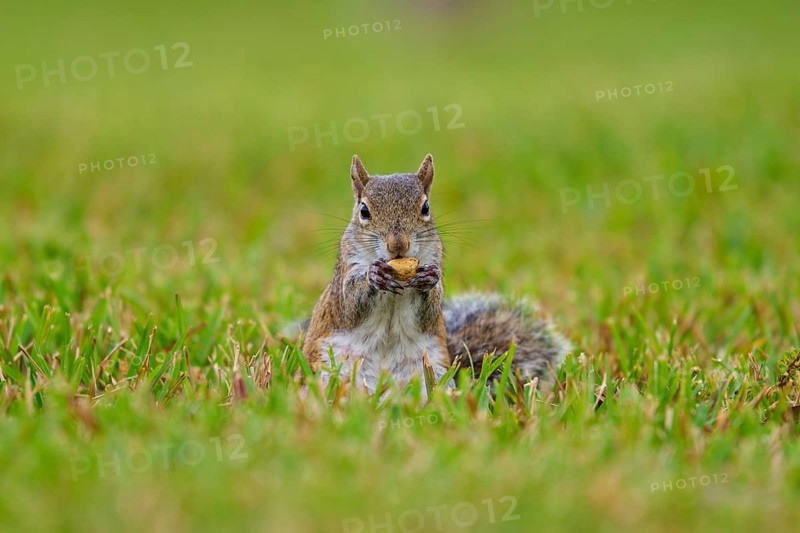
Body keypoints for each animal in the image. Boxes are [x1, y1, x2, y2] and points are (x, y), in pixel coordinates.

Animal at [302, 154, 571, 394]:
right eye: (364, 211)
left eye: (425, 207)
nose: (398, 245)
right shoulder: (345, 274)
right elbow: (348, 305)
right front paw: (374, 276)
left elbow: (428, 312)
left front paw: (428, 281)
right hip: (330, 371)